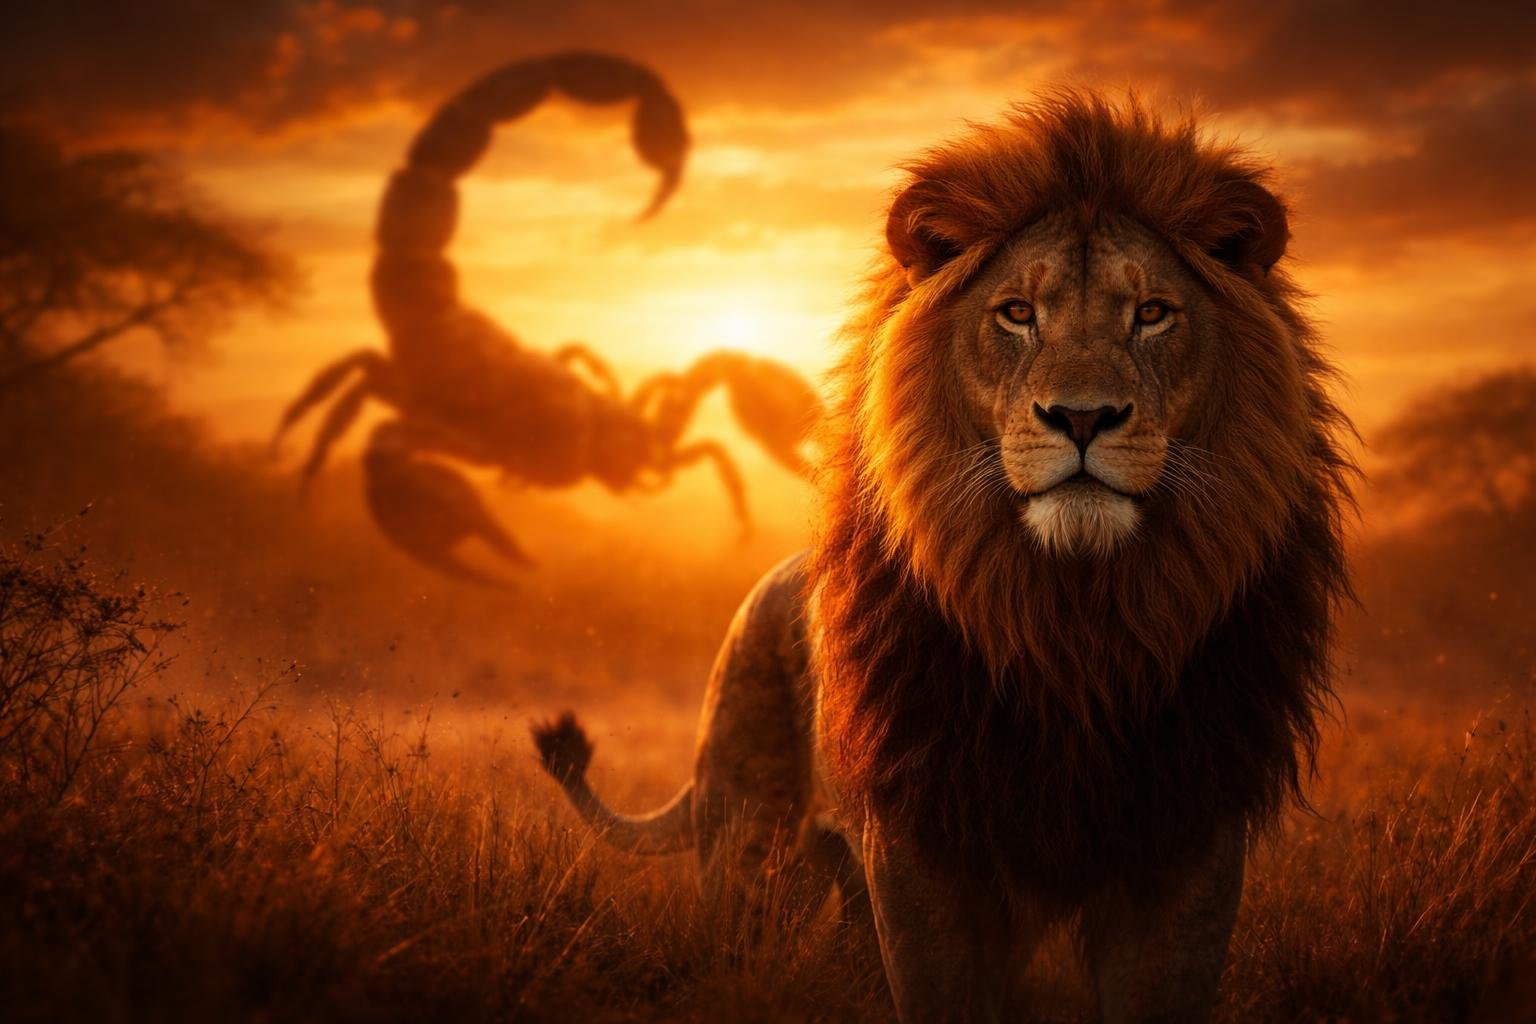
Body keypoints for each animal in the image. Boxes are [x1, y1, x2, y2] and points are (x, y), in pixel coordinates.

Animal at [533, 91, 1354, 1022]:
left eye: (1151, 313)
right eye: (1017, 313)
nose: (1082, 417)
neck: (1077, 625)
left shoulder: (1188, 839)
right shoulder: (923, 842)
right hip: (752, 855)